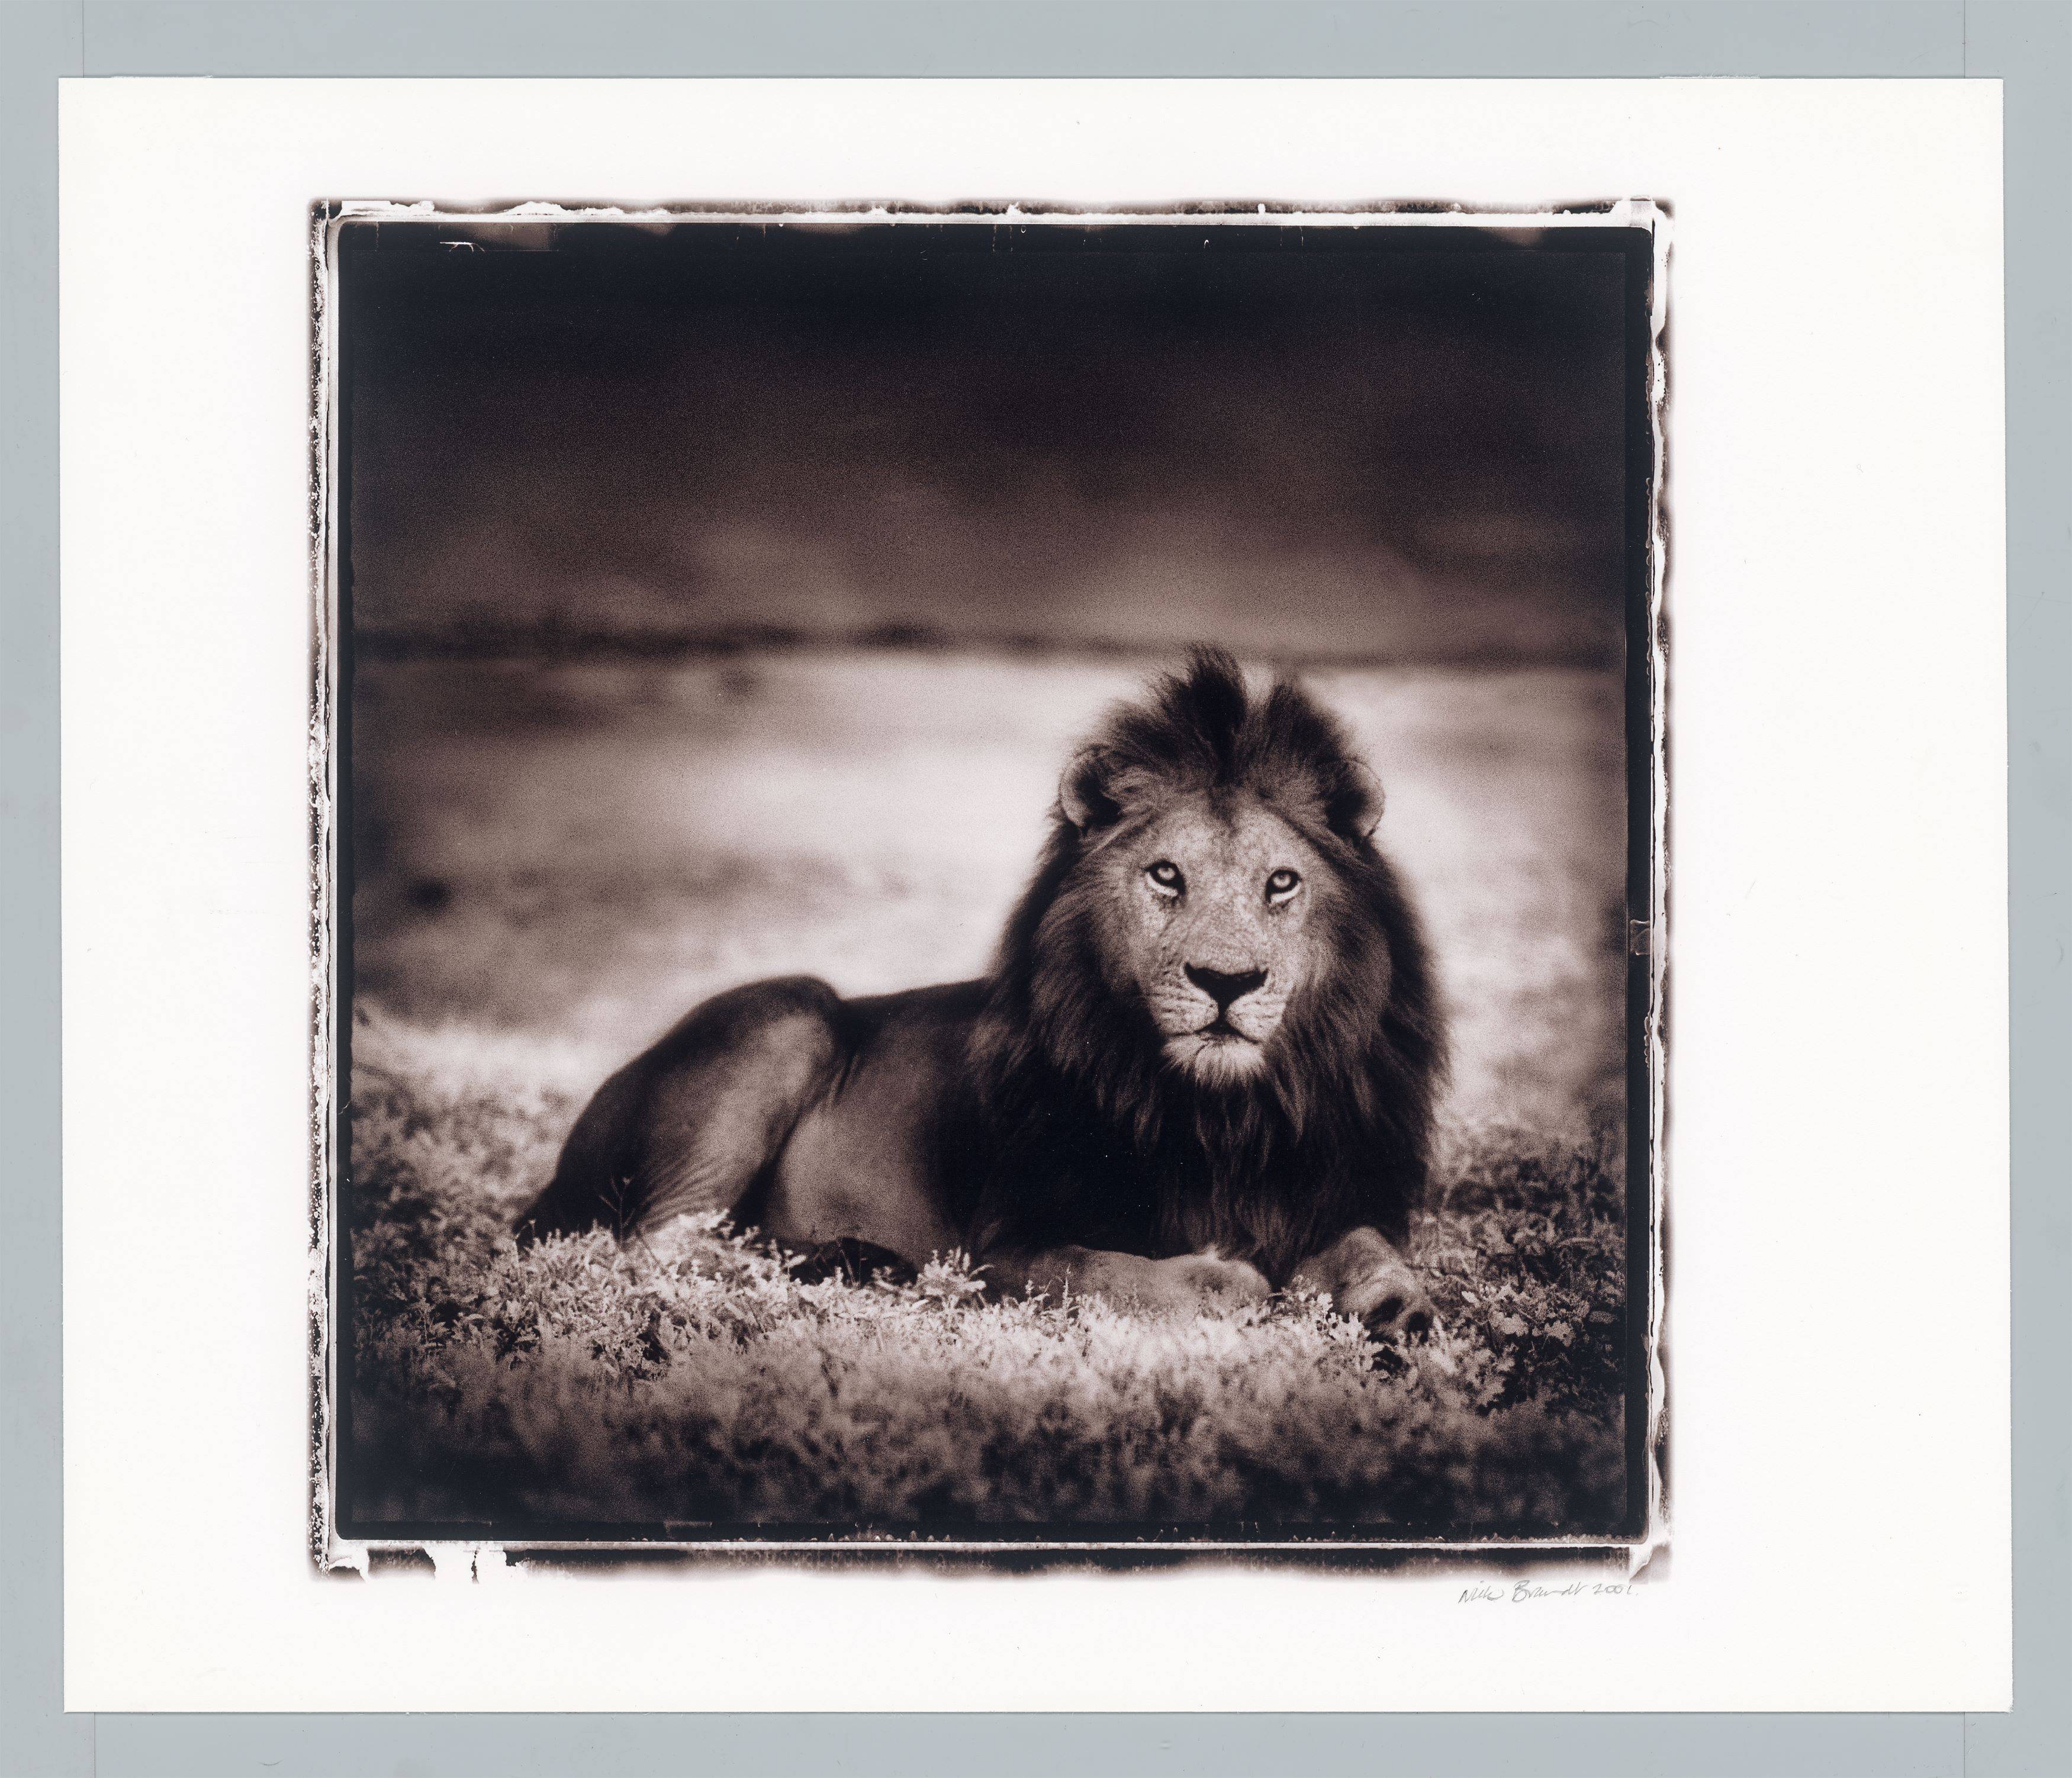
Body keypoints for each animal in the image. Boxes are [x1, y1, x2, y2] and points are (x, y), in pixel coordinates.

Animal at [519, 648, 1448, 1334]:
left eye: (1281, 883)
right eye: (1165, 876)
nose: (1227, 981)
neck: (1225, 1116)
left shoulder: (1339, 1194)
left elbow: (1370, 1247)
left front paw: (1399, 1309)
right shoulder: (1005, 1249)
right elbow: (1138, 1275)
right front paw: (1240, 1280)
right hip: (786, 1013)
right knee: (661, 1243)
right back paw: (843, 1265)